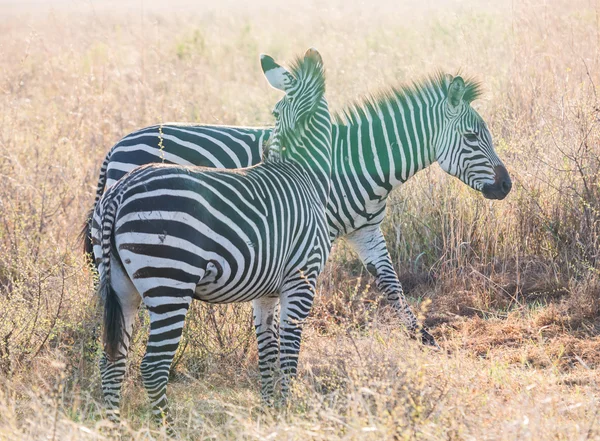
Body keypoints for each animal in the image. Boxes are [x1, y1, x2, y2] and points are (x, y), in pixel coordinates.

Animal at [89, 48, 332, 422]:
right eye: (274, 113)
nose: (265, 155)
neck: (303, 171)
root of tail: (118, 192)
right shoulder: (302, 277)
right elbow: (289, 356)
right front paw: (288, 413)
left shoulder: (267, 292)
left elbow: (268, 353)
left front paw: (271, 412)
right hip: (170, 280)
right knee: (153, 367)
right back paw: (165, 427)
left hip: (120, 285)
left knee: (112, 360)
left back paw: (113, 425)